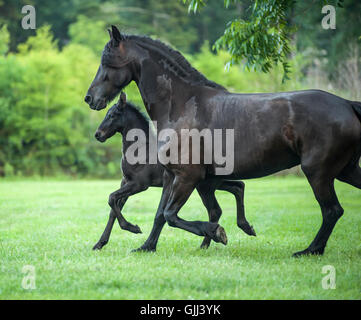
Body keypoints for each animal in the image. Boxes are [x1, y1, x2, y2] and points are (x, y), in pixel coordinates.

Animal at [93, 92, 256, 250]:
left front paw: (133, 228)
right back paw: (239, 229)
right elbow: (113, 210)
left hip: (203, 185)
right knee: (237, 187)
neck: (140, 149)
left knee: (219, 206)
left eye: (112, 115)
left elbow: (111, 198)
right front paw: (100, 243)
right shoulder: (125, 181)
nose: (98, 134)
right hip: (210, 183)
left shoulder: (139, 184)